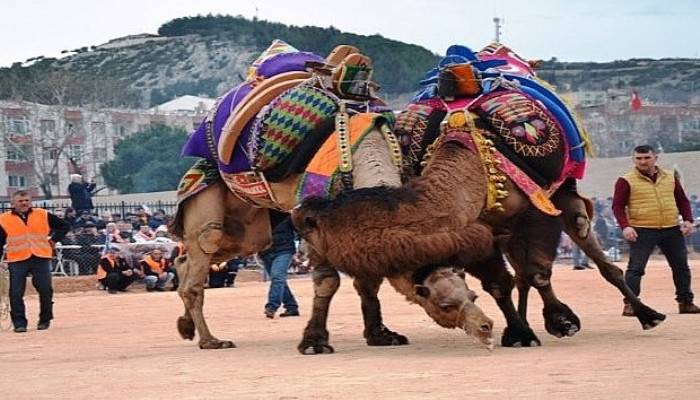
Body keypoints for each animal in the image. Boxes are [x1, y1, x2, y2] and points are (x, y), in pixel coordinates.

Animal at [170, 42, 494, 352]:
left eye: (473, 294)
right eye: (444, 304)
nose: (486, 327)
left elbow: (368, 281)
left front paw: (381, 335)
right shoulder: (309, 217)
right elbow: (328, 282)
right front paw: (314, 342)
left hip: (251, 224)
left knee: (201, 256)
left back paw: (185, 325)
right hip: (209, 194)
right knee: (205, 244)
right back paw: (210, 340)